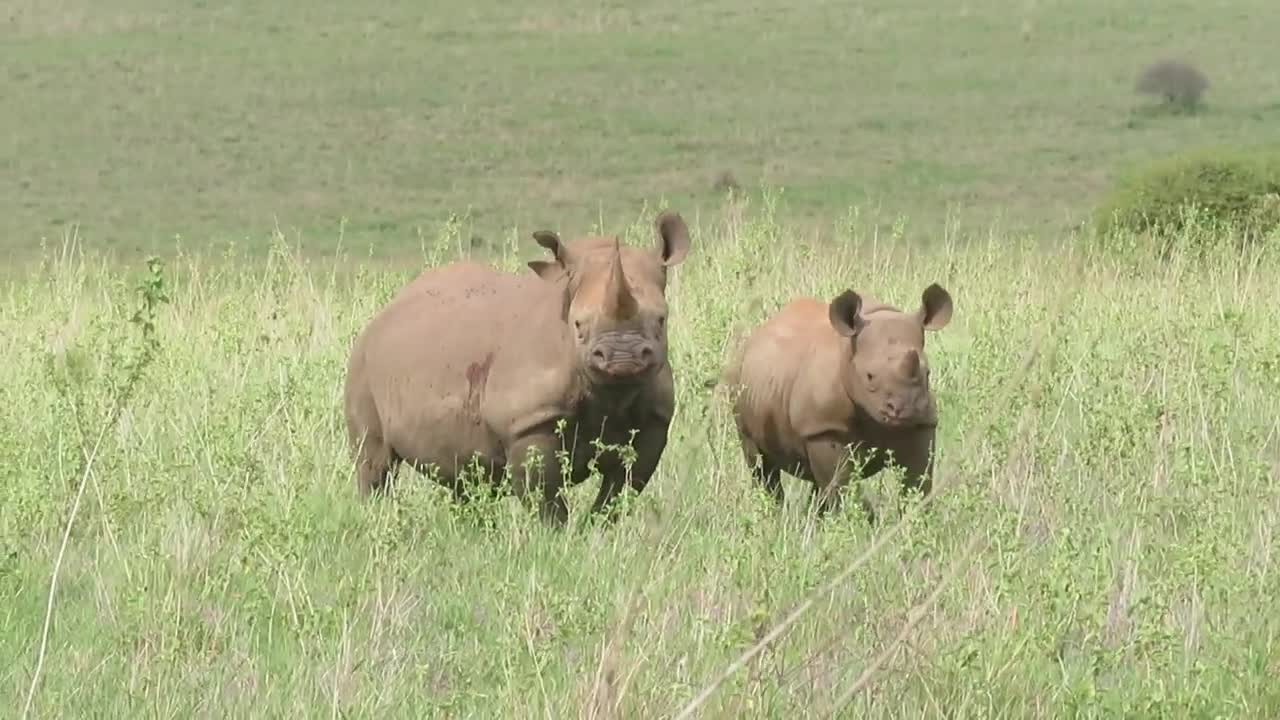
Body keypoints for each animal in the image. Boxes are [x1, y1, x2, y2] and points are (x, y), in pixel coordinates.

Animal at [340, 210, 691, 525]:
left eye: (661, 320)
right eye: (578, 326)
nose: (622, 358)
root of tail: (385, 312)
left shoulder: (654, 421)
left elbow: (620, 493)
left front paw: (596, 534)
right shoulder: (529, 422)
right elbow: (547, 502)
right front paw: (557, 541)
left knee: (467, 475)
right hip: (362, 362)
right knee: (375, 462)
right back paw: (378, 519)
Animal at [727, 281, 957, 520]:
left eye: (927, 374)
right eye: (869, 376)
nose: (904, 409)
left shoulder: (922, 423)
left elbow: (917, 484)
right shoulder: (824, 428)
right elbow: (842, 486)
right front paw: (863, 520)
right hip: (738, 383)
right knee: (761, 464)